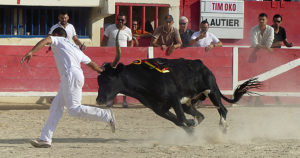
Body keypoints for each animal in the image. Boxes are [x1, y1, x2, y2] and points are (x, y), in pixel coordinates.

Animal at [96, 58, 260, 132]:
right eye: (98, 80)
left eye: (109, 79)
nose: (99, 99)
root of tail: (202, 64)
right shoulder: (159, 109)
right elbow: (179, 121)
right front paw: (191, 129)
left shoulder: (174, 98)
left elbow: (181, 119)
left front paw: (191, 125)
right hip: (188, 103)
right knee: (200, 115)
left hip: (212, 91)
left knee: (222, 109)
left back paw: (223, 127)